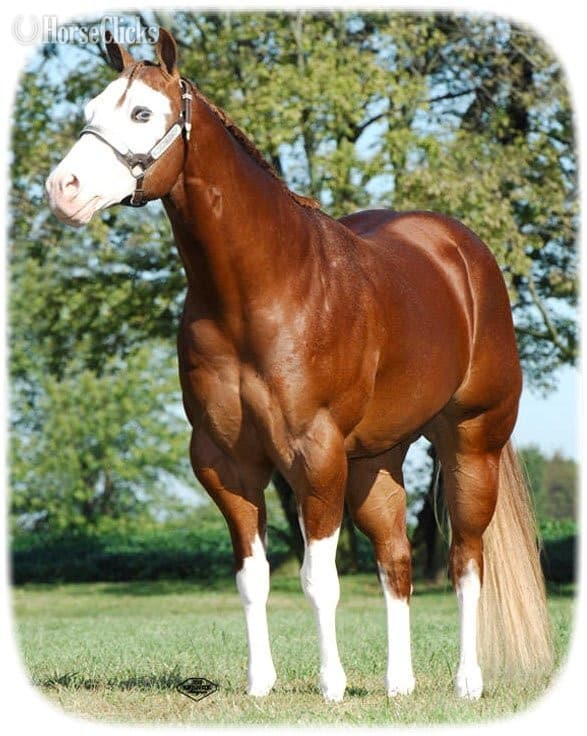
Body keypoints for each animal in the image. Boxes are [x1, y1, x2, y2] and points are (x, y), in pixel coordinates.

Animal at [45, 29, 552, 702]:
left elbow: (320, 580)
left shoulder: (316, 457)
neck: (261, 293)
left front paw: (330, 685)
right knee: (396, 560)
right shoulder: (225, 463)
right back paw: (399, 683)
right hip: (376, 461)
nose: (64, 189)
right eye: (90, 109)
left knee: (467, 559)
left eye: (142, 113)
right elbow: (253, 578)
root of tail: (465, 256)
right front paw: (260, 683)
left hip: (471, 443)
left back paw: (467, 681)